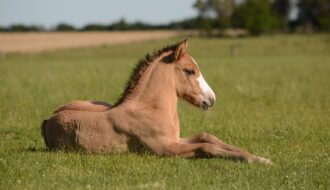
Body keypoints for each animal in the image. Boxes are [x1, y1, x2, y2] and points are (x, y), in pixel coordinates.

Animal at [41, 39, 272, 164]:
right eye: (189, 71)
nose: (211, 99)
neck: (151, 109)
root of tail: (47, 119)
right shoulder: (165, 149)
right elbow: (207, 147)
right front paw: (251, 159)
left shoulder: (176, 139)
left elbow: (208, 137)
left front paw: (260, 158)